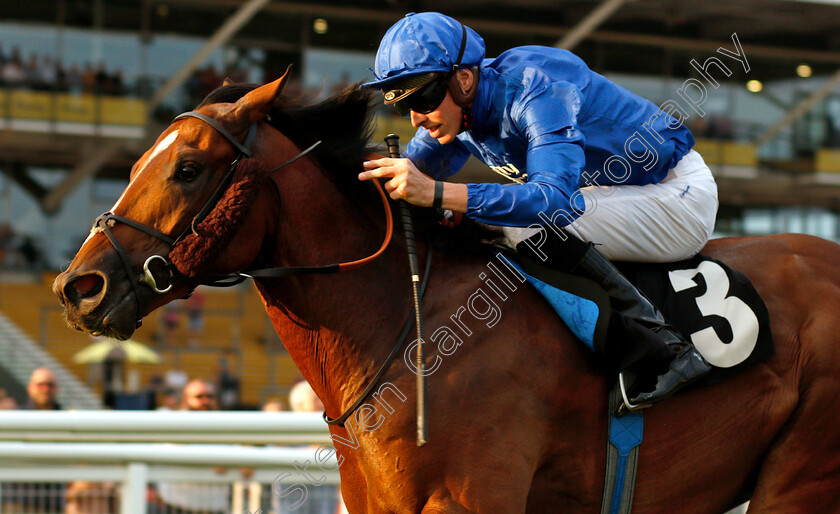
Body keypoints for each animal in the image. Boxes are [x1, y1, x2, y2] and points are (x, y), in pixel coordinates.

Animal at [52, 74, 840, 510]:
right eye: (136, 164)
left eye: (187, 168)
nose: (77, 287)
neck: (405, 324)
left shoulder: (468, 498)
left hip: (800, 477)